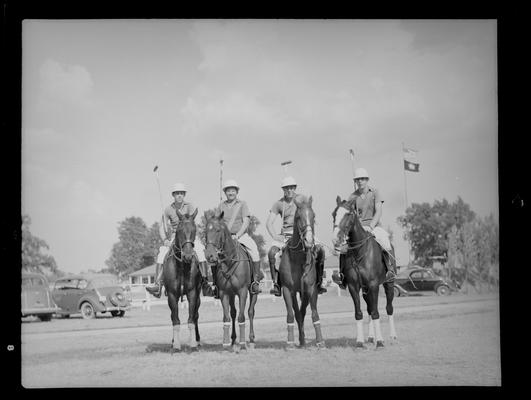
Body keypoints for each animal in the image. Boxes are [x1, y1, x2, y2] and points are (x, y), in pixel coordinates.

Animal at [163, 209, 203, 354]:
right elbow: (175, 320)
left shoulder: (192, 293)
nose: (187, 256)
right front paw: (176, 346)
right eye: (179, 230)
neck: (181, 266)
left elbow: (191, 319)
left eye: (194, 229)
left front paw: (193, 345)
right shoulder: (172, 295)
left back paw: (197, 340)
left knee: (196, 316)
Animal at [204, 209, 260, 350]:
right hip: (231, 294)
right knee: (233, 313)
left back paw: (251, 339)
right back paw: (233, 339)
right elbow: (227, 317)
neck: (229, 261)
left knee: (251, 312)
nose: (210, 255)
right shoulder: (224, 293)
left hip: (253, 291)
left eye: (218, 230)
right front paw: (225, 344)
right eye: (206, 231)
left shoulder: (242, 292)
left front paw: (242, 345)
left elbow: (242, 316)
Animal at [278, 195, 324, 348]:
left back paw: (303, 340)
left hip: (304, 294)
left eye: (313, 216)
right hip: (294, 293)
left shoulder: (311, 289)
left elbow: (314, 314)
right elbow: (291, 315)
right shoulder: (287, 290)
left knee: (302, 313)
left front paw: (320, 342)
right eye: (298, 217)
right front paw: (290, 343)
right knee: (297, 314)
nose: (309, 240)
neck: (298, 259)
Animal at [330, 195, 396, 346]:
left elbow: (376, 312)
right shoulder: (354, 286)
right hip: (365, 289)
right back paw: (371, 337)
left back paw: (392, 336)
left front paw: (380, 342)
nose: (335, 239)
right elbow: (359, 312)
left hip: (389, 284)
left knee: (389, 308)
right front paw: (360, 341)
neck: (360, 252)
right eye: (334, 214)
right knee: (369, 309)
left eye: (348, 214)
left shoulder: (373, 285)